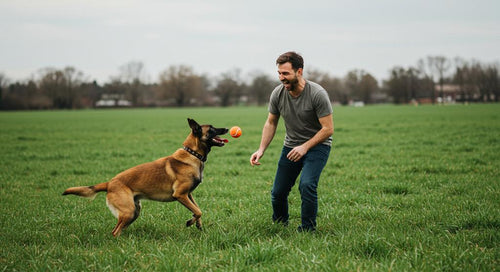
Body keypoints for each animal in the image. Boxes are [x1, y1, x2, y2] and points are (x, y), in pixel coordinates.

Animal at [62, 118, 229, 237]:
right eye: (212, 128)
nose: (227, 128)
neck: (193, 154)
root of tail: (109, 183)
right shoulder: (180, 195)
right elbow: (198, 211)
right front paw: (189, 222)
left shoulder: (188, 195)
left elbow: (197, 209)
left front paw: (198, 224)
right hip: (129, 211)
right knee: (115, 231)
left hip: (134, 211)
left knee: (117, 230)